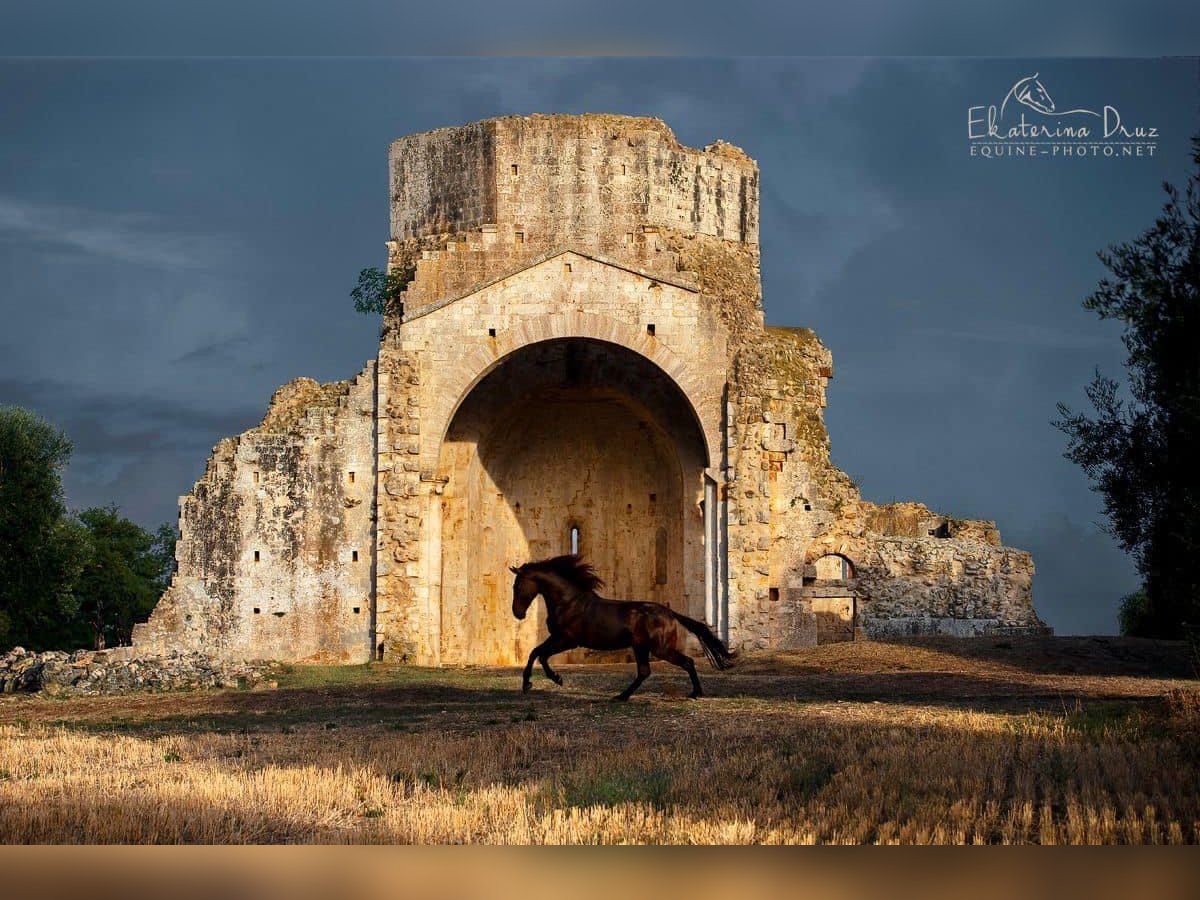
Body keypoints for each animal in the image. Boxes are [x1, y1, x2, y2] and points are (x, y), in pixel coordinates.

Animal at [504, 556, 729, 705]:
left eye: (517, 586)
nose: (517, 613)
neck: (568, 602)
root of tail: (671, 613)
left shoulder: (567, 639)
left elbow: (541, 655)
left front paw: (555, 679)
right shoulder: (558, 638)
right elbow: (535, 652)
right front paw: (527, 684)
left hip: (660, 649)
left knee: (686, 662)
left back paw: (696, 693)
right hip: (641, 647)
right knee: (645, 671)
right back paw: (621, 696)